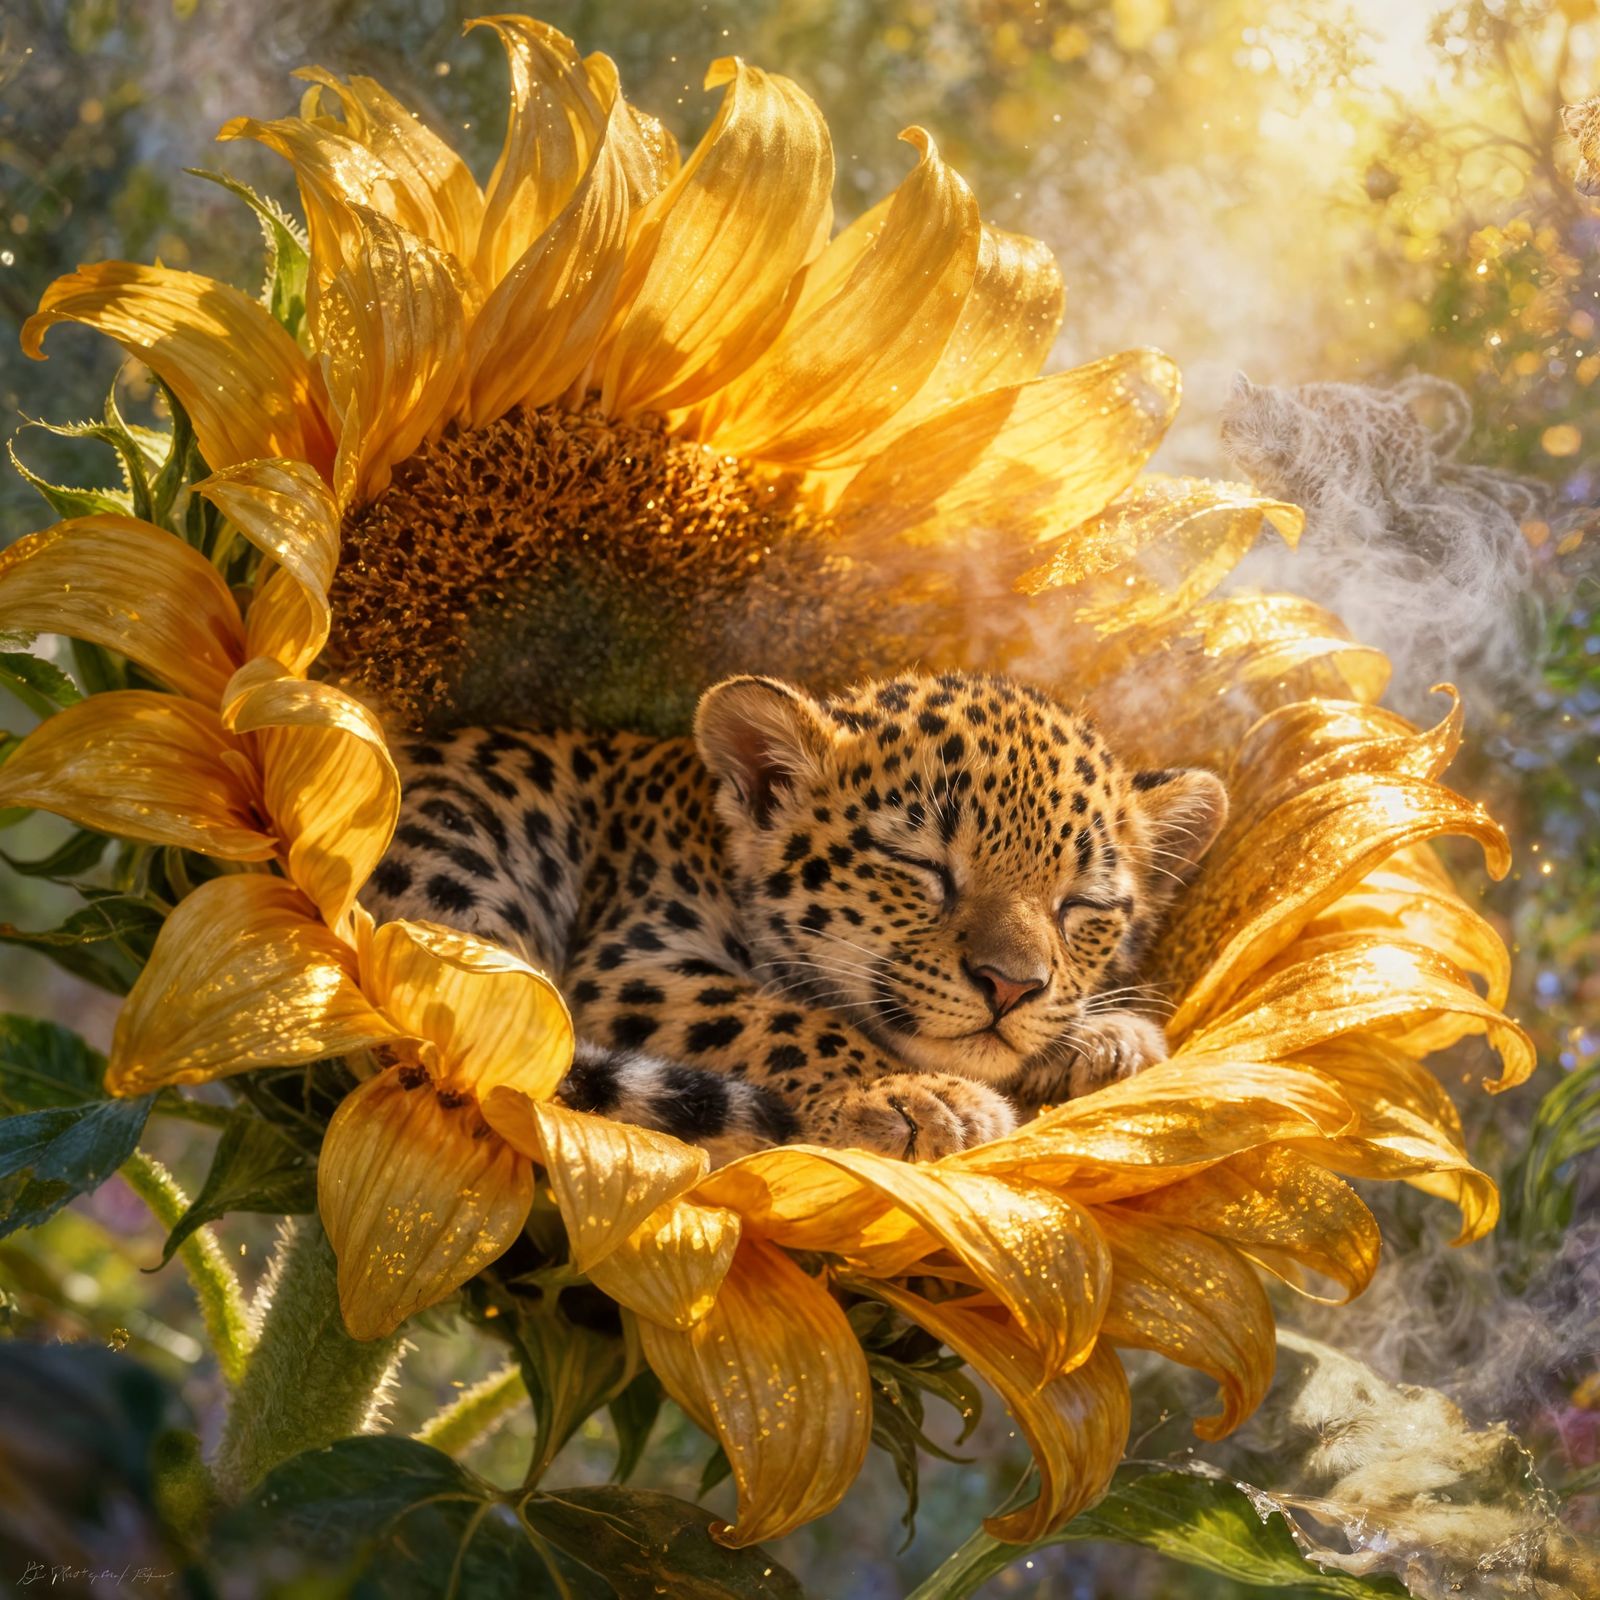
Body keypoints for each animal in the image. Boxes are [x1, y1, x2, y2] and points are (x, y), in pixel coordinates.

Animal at [360, 670, 1229, 1162]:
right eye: (922, 868)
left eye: (1080, 906)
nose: (1010, 987)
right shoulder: (632, 967)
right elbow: (785, 1019)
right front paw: (920, 1097)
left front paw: (1111, 1040)